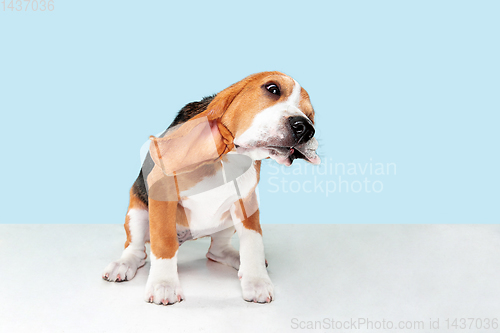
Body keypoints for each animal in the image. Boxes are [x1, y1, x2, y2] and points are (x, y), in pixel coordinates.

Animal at [102, 71, 320, 304]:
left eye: (310, 115)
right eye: (272, 88)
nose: (306, 128)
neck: (230, 155)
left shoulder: (246, 200)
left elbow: (253, 240)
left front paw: (256, 280)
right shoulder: (161, 193)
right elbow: (164, 241)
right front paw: (164, 284)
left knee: (216, 250)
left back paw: (238, 260)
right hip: (137, 212)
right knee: (137, 249)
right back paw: (123, 264)